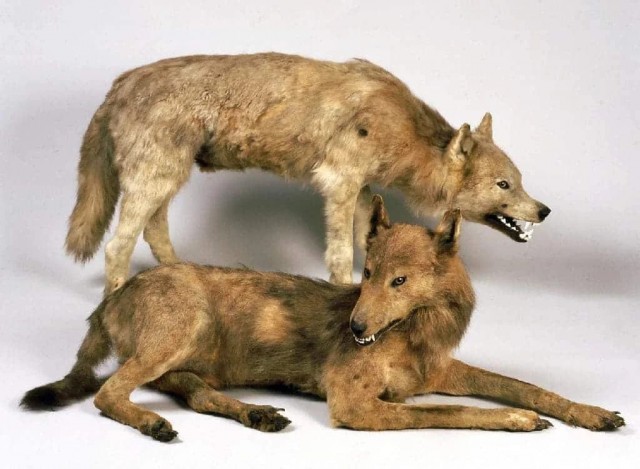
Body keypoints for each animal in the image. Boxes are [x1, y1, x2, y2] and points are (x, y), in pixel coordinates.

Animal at [25, 196, 619, 441]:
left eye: (399, 282)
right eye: (368, 272)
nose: (355, 329)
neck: (414, 331)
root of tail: (110, 299)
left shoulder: (441, 371)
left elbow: (528, 386)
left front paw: (589, 413)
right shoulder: (354, 404)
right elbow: (447, 412)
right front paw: (516, 421)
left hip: (184, 365)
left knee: (194, 394)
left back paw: (257, 415)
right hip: (179, 330)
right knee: (108, 394)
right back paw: (152, 423)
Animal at [64, 52, 551, 292]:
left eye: (520, 180)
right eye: (504, 184)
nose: (544, 210)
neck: (403, 128)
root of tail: (121, 84)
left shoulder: (361, 191)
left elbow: (367, 249)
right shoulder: (339, 185)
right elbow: (340, 255)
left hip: (166, 180)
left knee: (155, 231)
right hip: (156, 180)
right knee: (117, 246)